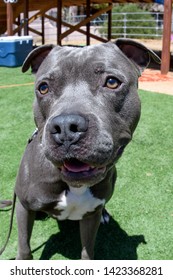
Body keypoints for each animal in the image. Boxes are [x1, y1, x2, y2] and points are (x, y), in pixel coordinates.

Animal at [1, 38, 161, 260]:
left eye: (112, 82)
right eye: (43, 87)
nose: (66, 127)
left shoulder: (90, 217)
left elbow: (87, 251)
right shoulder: (24, 208)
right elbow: (24, 247)